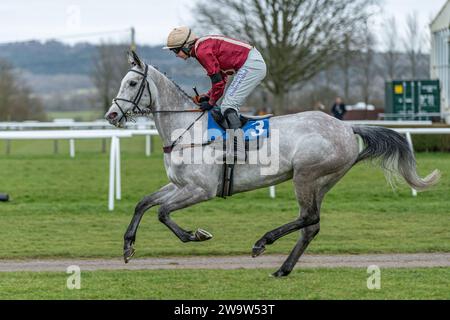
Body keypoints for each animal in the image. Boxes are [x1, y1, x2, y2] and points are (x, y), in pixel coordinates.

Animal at [104, 51, 440, 276]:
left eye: (132, 83)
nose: (111, 115)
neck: (187, 130)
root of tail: (347, 127)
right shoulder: (180, 185)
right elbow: (144, 203)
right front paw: (128, 246)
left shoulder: (201, 189)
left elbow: (162, 212)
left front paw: (196, 235)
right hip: (323, 181)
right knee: (312, 225)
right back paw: (283, 268)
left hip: (306, 175)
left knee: (308, 217)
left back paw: (263, 242)